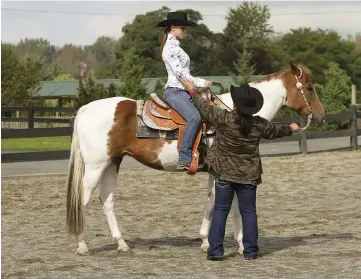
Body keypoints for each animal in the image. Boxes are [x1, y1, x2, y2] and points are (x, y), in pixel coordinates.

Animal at [66, 61, 324, 256]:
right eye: (309, 87)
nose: (321, 116)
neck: (233, 113)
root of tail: (86, 109)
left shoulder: (216, 172)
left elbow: (216, 204)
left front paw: (213, 241)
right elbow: (226, 206)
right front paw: (232, 243)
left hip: (112, 163)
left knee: (107, 201)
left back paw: (122, 244)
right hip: (95, 166)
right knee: (83, 200)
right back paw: (82, 245)